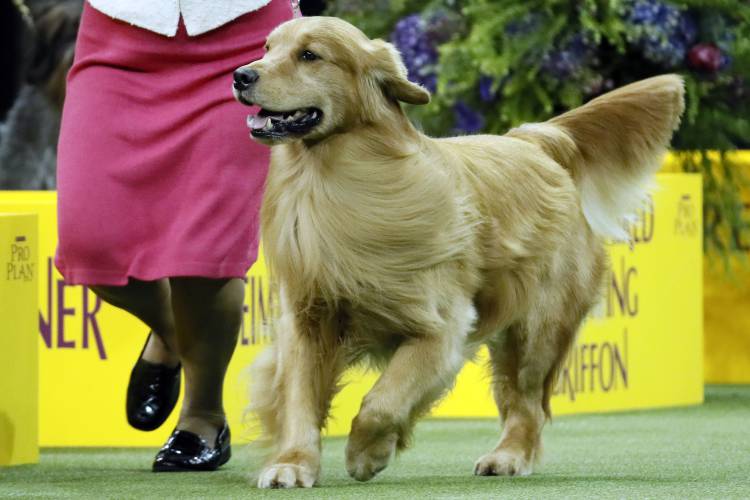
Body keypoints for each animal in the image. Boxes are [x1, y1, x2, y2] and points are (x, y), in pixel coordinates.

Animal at [235, 16, 688, 488]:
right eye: (267, 48)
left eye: (310, 55)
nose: (241, 76)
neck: (334, 181)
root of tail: (533, 140)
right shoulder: (307, 320)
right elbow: (299, 399)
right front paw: (292, 463)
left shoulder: (440, 327)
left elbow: (383, 401)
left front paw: (366, 452)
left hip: (538, 329)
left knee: (527, 403)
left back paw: (508, 456)